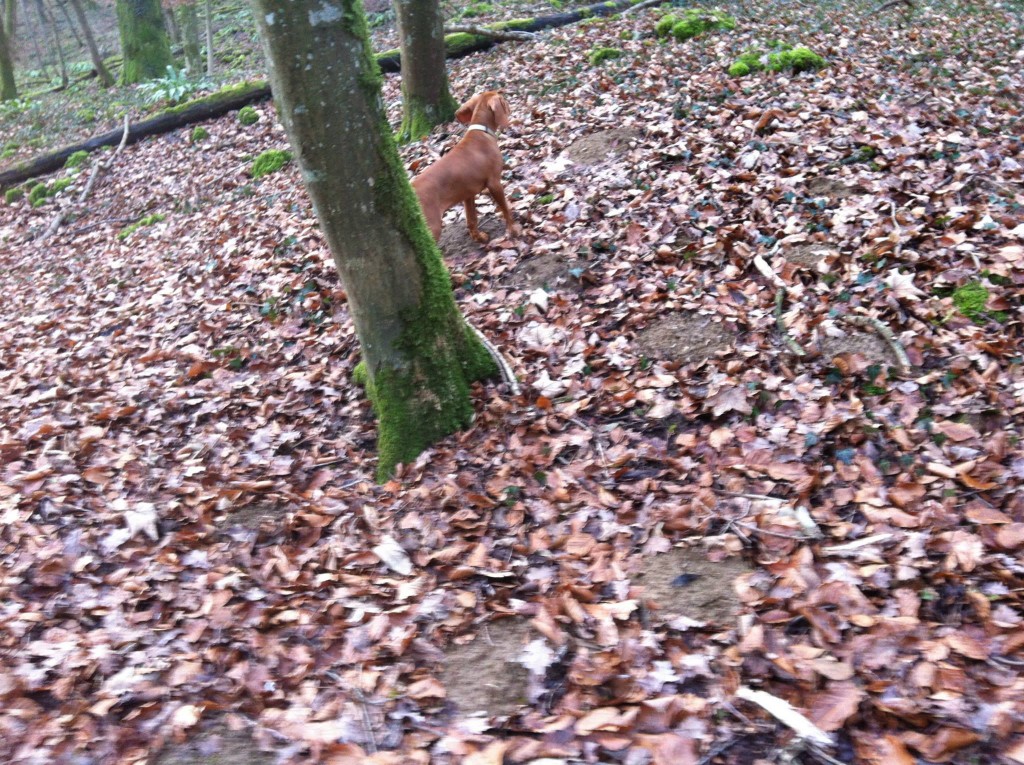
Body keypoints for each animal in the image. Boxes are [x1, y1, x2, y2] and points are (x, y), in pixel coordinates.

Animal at [409, 91, 520, 243]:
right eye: (502, 99)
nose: (510, 105)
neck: (481, 131)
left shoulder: (468, 194)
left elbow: (471, 219)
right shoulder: (494, 183)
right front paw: (513, 230)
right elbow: (505, 209)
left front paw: (478, 236)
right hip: (433, 226)